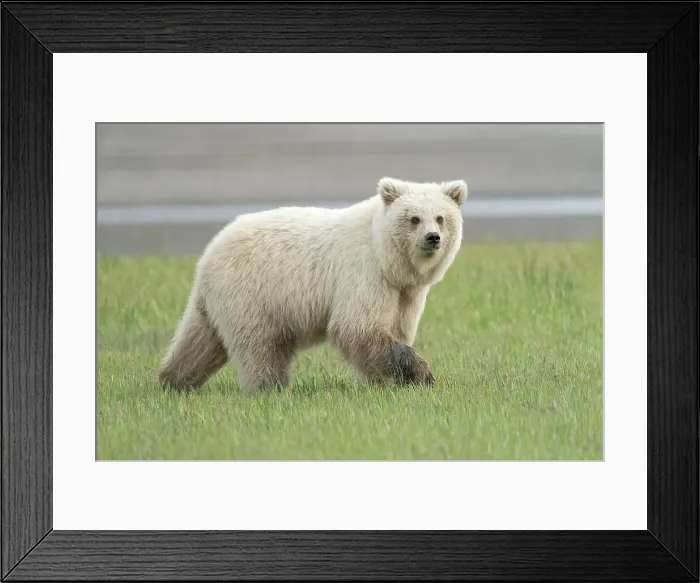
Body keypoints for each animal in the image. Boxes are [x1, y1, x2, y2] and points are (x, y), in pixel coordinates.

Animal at [158, 176, 467, 393]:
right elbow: (357, 328)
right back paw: (271, 388)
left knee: (199, 341)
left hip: (219, 302)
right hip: (252, 293)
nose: (432, 237)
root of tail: (208, 254)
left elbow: (395, 329)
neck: (388, 259)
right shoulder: (363, 275)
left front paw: (391, 380)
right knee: (261, 347)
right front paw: (421, 374)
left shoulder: (404, 293)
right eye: (414, 218)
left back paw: (172, 381)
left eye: (441, 217)